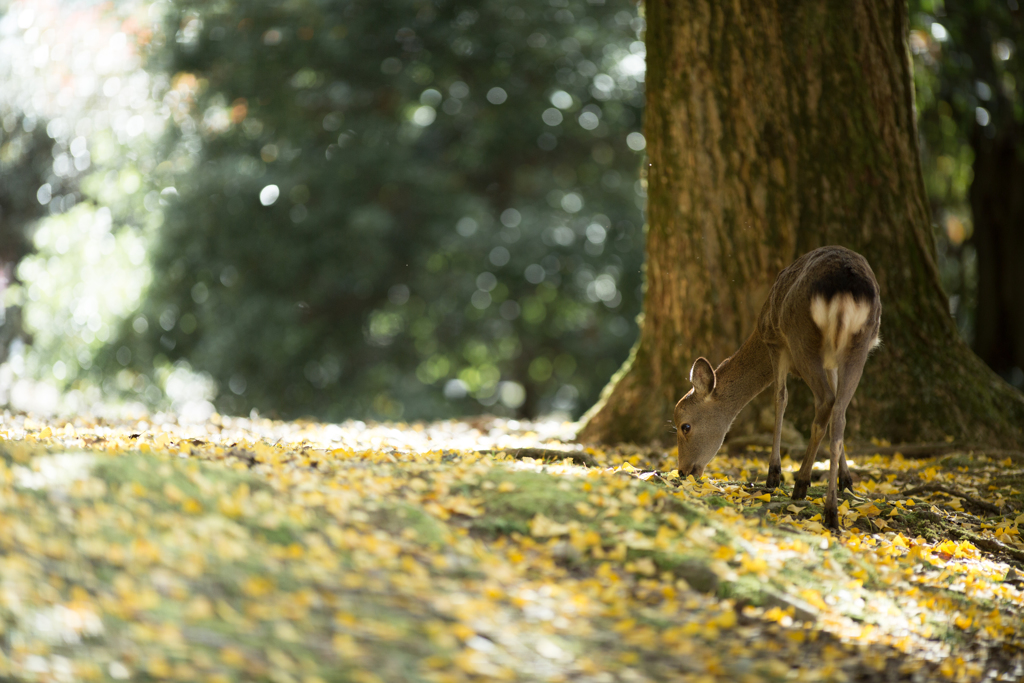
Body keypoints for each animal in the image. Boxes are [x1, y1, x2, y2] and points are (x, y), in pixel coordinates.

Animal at [671, 246, 880, 532]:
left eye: (685, 426)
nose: (683, 471)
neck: (759, 334)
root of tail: (844, 287)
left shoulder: (775, 343)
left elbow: (780, 399)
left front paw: (774, 474)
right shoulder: (831, 362)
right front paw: (846, 480)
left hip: (801, 337)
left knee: (825, 402)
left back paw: (802, 485)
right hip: (859, 344)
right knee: (838, 412)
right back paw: (831, 509)